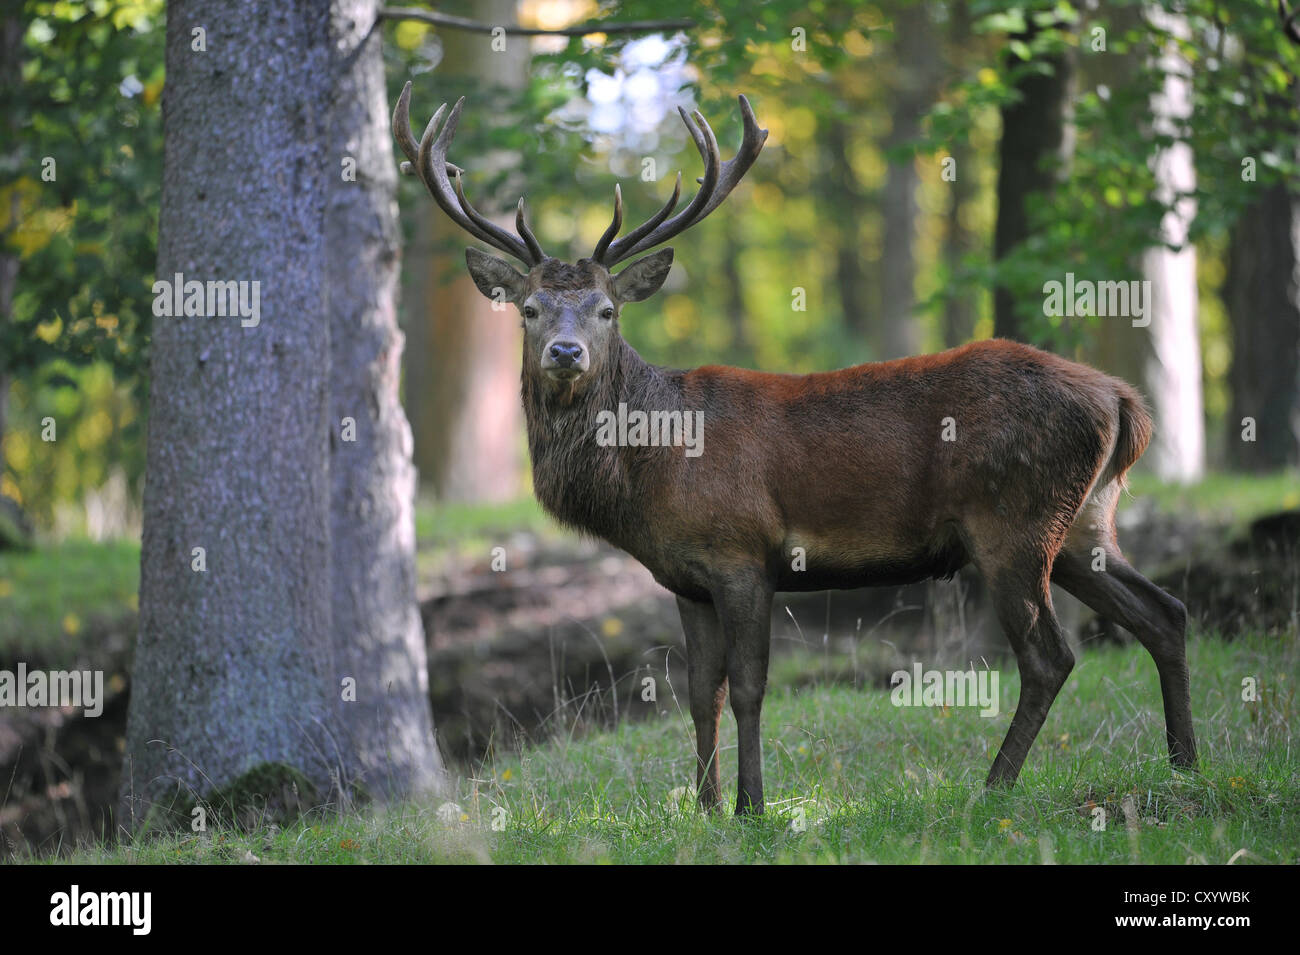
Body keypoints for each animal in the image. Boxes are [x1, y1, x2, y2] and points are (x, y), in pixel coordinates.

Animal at [392, 83, 1197, 816]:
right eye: (529, 308)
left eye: (606, 310)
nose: (565, 352)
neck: (651, 471)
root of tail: (1120, 400)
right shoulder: (685, 578)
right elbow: (698, 693)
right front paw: (704, 808)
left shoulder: (743, 551)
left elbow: (749, 687)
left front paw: (752, 807)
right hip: (1085, 521)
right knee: (1164, 611)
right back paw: (1185, 765)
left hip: (1014, 521)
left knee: (1050, 656)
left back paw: (995, 787)